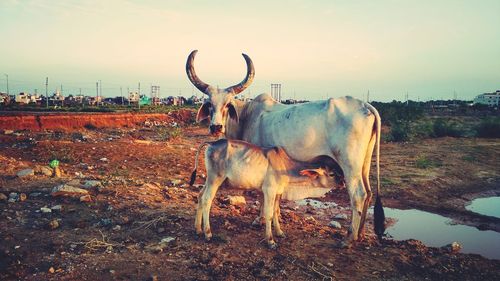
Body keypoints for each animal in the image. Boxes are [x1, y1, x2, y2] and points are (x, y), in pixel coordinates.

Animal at [186, 49, 384, 245]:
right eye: (210, 105)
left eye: (228, 104)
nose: (216, 127)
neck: (247, 116)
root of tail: (365, 105)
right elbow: (275, 201)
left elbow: (263, 196)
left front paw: (260, 220)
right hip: (363, 165)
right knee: (368, 193)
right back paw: (360, 234)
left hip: (350, 165)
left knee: (358, 195)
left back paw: (349, 237)